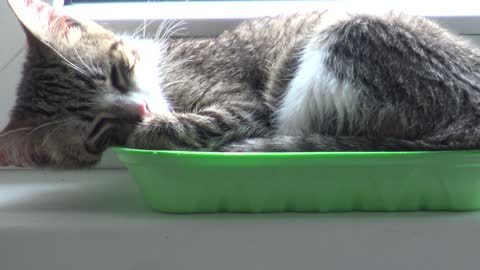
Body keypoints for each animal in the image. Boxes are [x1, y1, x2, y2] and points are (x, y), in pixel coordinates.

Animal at [0, 0, 480, 168]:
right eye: (96, 130)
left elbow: (202, 122)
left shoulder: (244, 105)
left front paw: (153, 128)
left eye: (118, 72)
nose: (141, 111)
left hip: (348, 36)